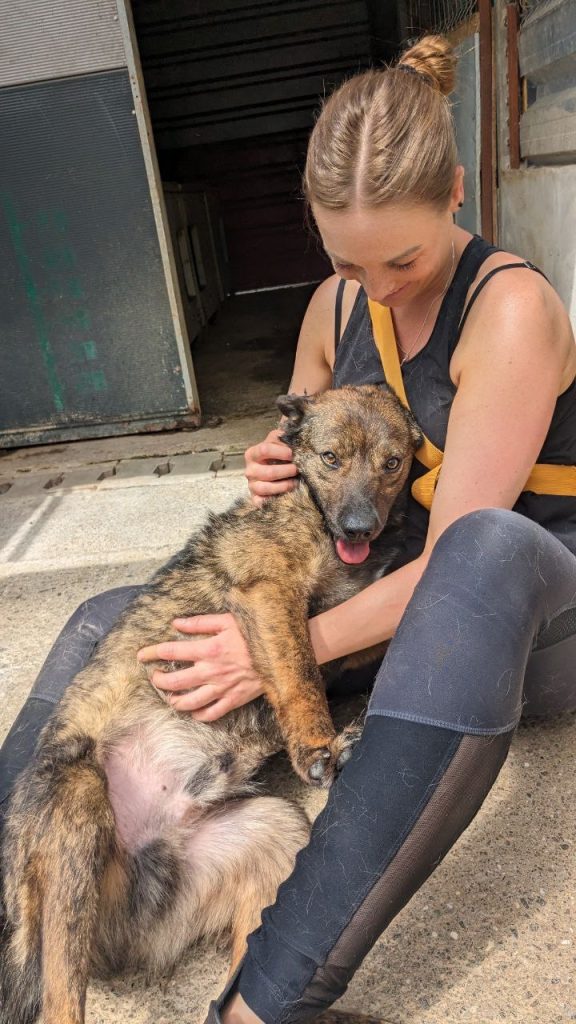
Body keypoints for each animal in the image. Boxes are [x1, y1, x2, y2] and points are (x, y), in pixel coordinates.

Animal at [0, 382, 416, 1024]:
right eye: (331, 458)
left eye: (392, 464)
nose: (358, 528)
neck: (311, 509)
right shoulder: (269, 593)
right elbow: (298, 669)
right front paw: (315, 742)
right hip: (79, 807)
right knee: (60, 1003)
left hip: (272, 833)